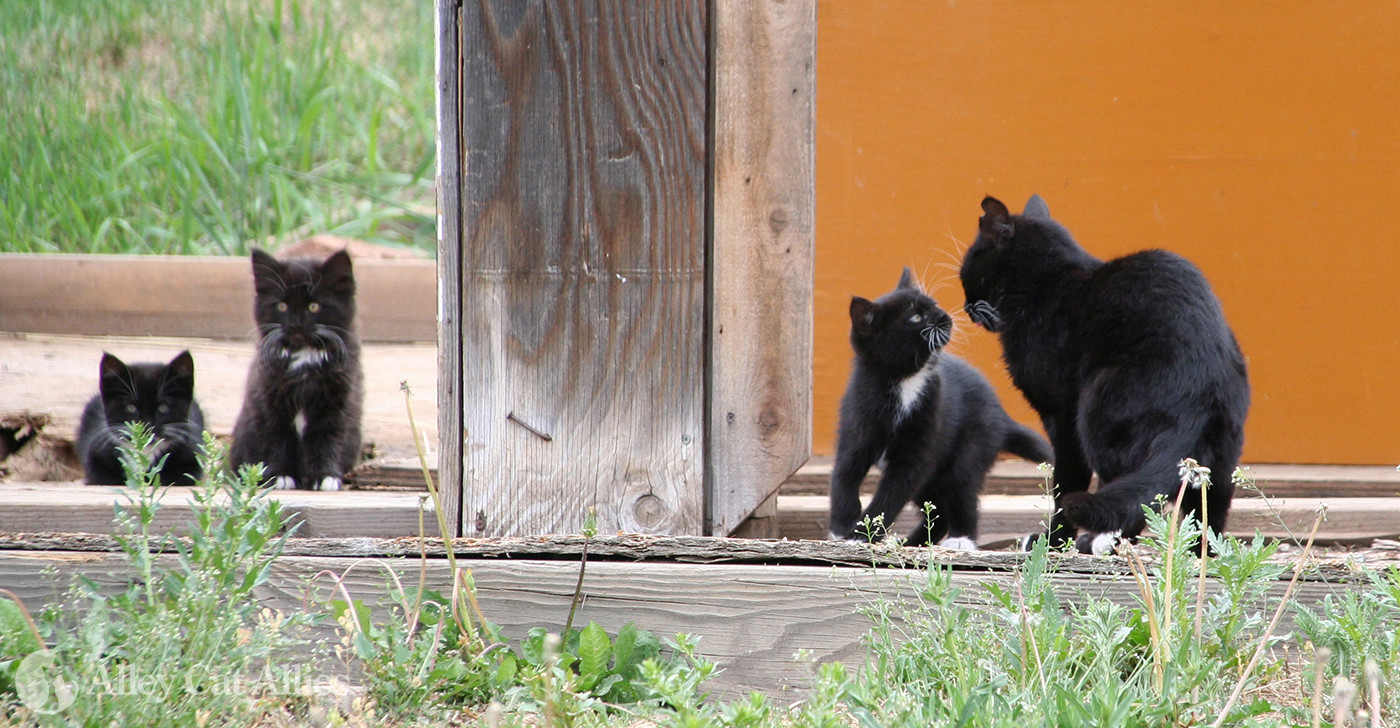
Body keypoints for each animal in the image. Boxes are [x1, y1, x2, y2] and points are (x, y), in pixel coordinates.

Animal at [74, 351, 204, 487]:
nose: (147, 426)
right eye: (131, 407)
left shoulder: (192, 458)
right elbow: (102, 476)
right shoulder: (95, 453)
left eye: (163, 407)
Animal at [229, 247, 364, 492]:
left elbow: (327, 440)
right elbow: (277, 438)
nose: (295, 324)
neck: (304, 360)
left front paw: (325, 476)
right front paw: (281, 475)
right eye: (282, 306)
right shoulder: (269, 400)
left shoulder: (336, 403)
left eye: (314, 306)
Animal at [828, 270, 1052, 548]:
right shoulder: (857, 420)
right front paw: (842, 528)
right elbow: (845, 473)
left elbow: (893, 492)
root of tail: (1001, 415)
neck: (904, 381)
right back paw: (913, 542)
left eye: (933, 305)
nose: (945, 316)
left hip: (973, 442)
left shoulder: (921, 441)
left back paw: (961, 538)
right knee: (937, 508)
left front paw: (860, 534)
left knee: (962, 489)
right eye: (915, 317)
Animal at [963, 196, 1248, 554]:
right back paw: (1202, 554)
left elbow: (1066, 482)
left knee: (1137, 500)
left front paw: (1053, 542)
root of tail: (1199, 393)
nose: (966, 307)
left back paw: (1102, 544)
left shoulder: (1061, 415)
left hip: (1097, 410)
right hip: (1222, 458)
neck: (1043, 285)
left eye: (968, 266)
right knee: (1207, 511)